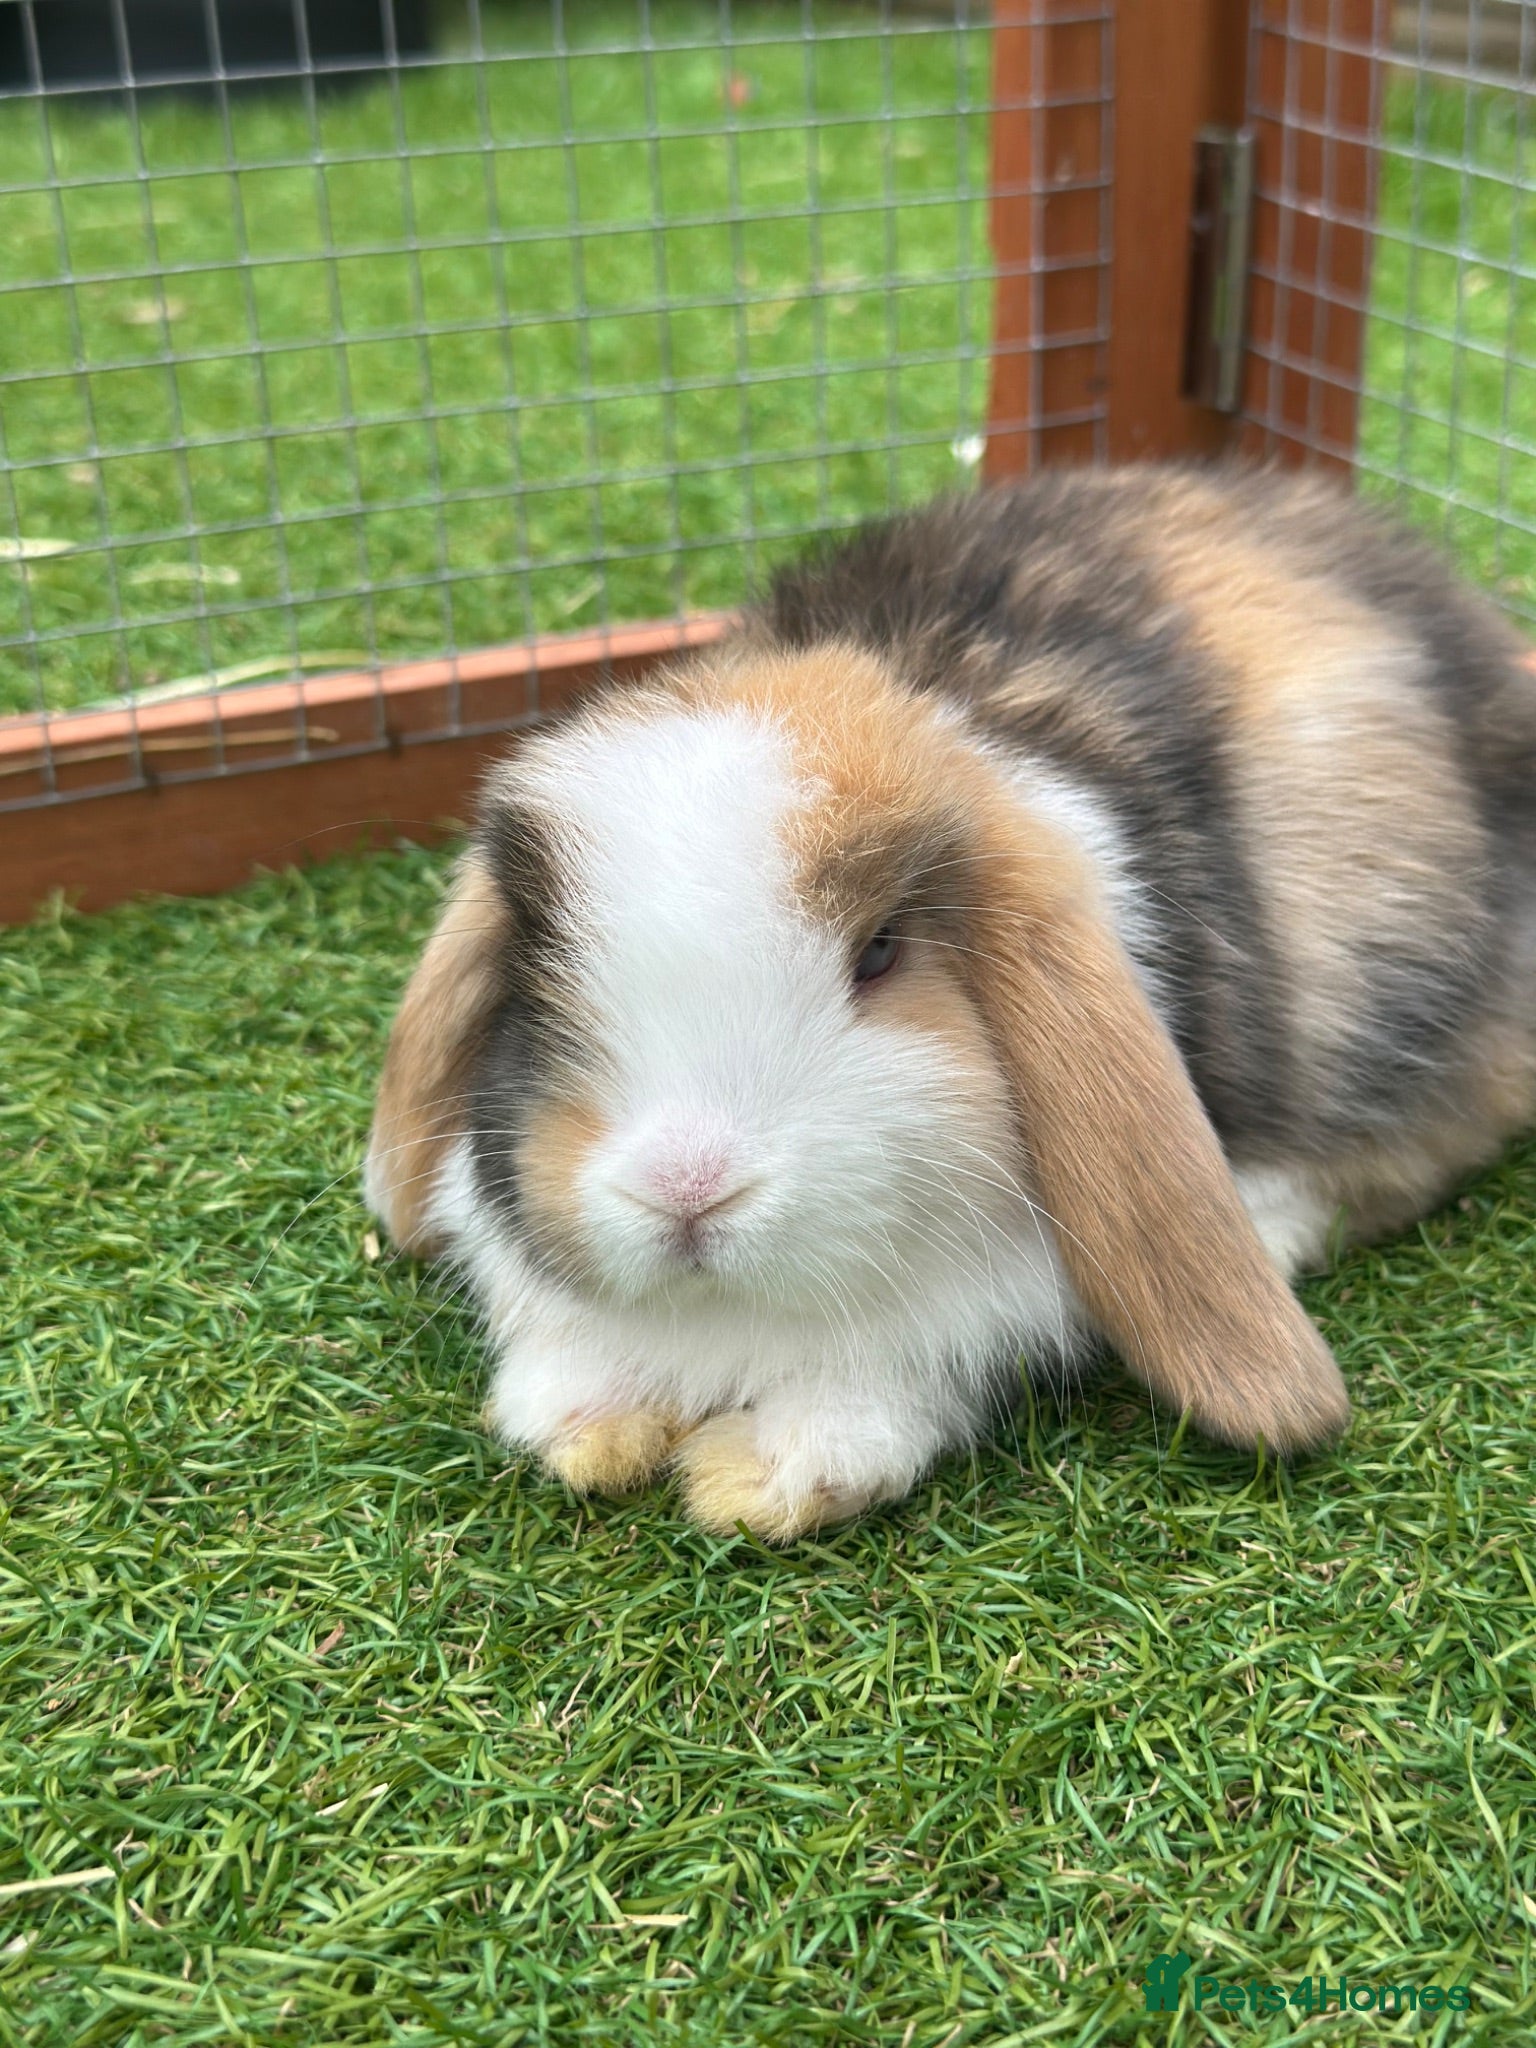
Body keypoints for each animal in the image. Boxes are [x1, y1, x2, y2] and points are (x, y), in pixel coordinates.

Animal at [365, 464, 1536, 1541]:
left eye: (880, 952)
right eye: (539, 961)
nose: (686, 1188)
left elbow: (887, 1386)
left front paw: (758, 1477)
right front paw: (592, 1429)